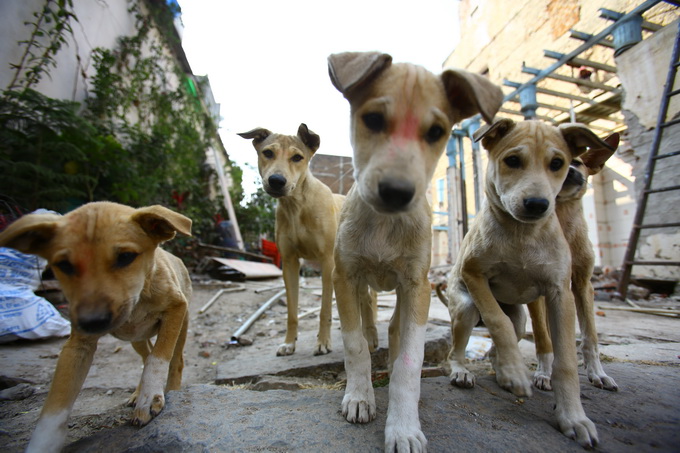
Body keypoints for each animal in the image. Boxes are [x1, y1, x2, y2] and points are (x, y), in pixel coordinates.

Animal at [0, 201, 191, 452]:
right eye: (64, 265)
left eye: (126, 257)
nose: (91, 322)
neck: (140, 296)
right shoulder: (76, 347)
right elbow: (55, 404)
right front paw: (43, 443)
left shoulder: (176, 308)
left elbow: (158, 358)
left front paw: (150, 397)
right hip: (137, 339)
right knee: (145, 354)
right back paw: (137, 392)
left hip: (182, 325)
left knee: (174, 360)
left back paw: (172, 389)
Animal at [239, 124, 346, 356]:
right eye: (268, 153)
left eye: (297, 157)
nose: (277, 181)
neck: (297, 205)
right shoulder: (289, 262)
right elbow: (291, 311)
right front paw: (289, 343)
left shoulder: (326, 262)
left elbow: (324, 310)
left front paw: (323, 342)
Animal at [326, 51, 502, 450]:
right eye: (373, 119)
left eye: (436, 132)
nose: (396, 191)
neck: (384, 223)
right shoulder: (345, 276)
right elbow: (354, 343)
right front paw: (359, 397)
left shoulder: (417, 287)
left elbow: (409, 361)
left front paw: (403, 427)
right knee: (367, 313)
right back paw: (372, 337)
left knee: (392, 325)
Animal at [528, 132, 620, 390]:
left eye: (577, 162)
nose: (568, 171)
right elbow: (541, 335)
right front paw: (543, 372)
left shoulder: (582, 284)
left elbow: (590, 335)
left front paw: (597, 373)